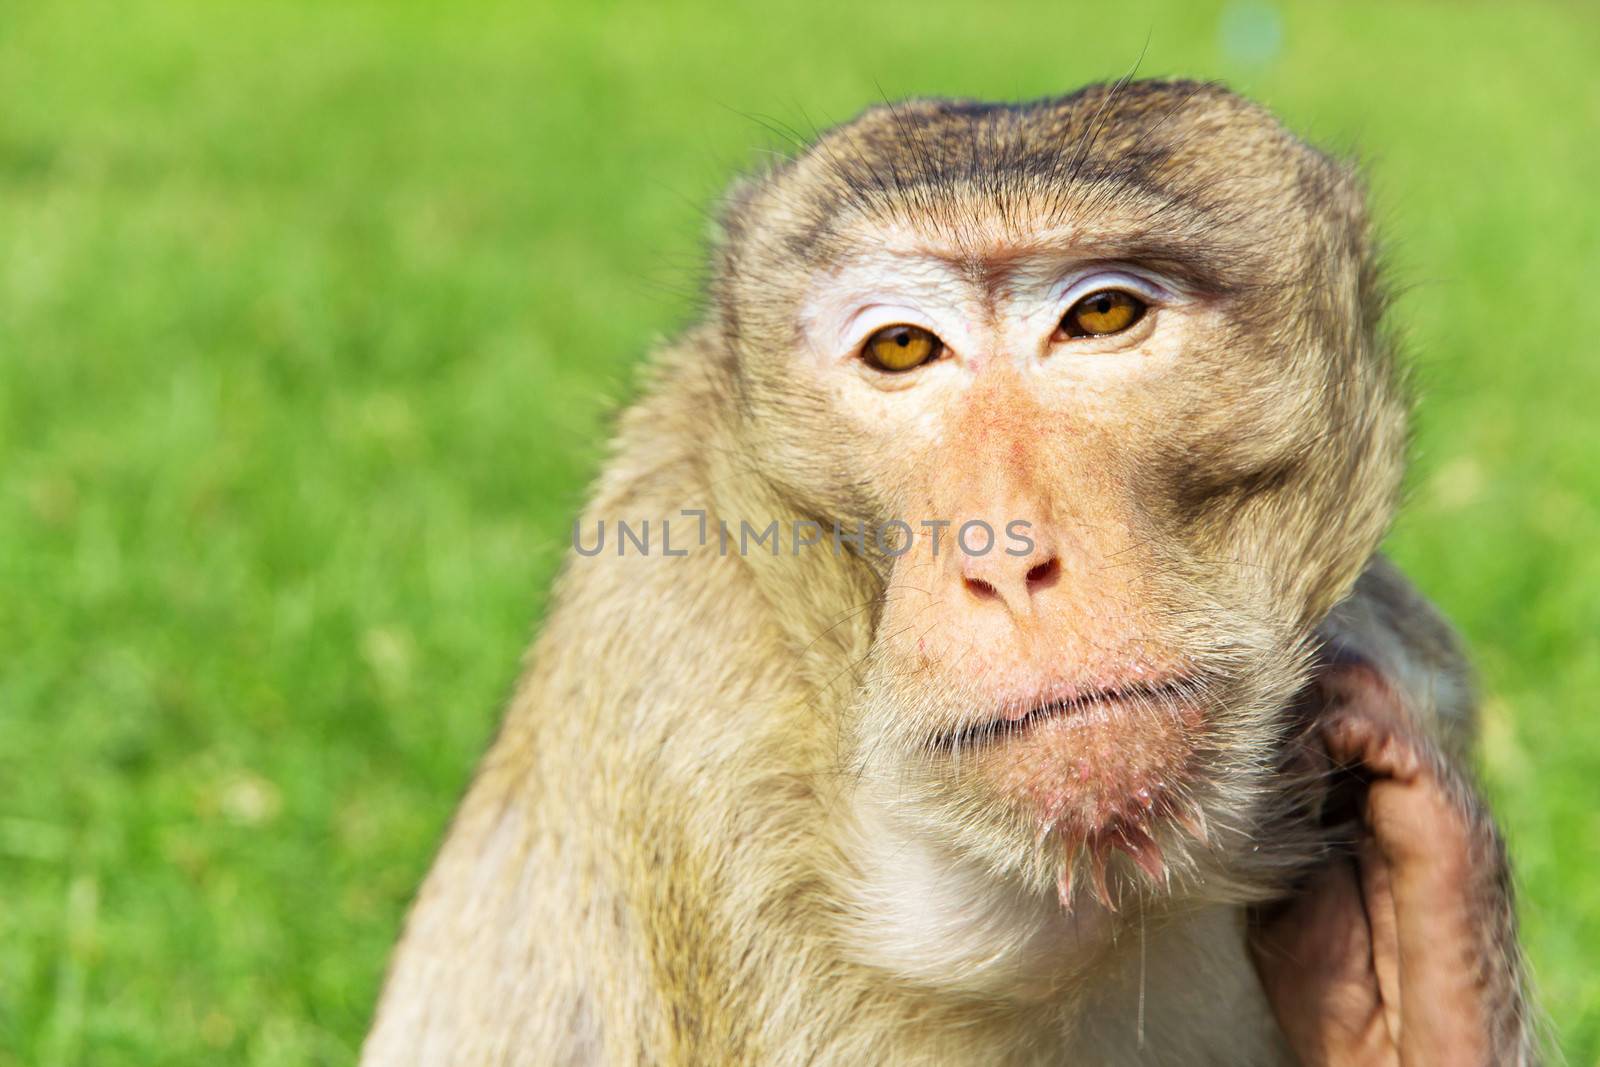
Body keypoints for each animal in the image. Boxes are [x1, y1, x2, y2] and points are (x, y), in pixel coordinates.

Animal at [363, 79, 1536, 1062]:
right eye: (901, 349)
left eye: (1103, 314)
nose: (1006, 558)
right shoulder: (688, 733)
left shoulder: (1412, 657)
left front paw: (1417, 941)